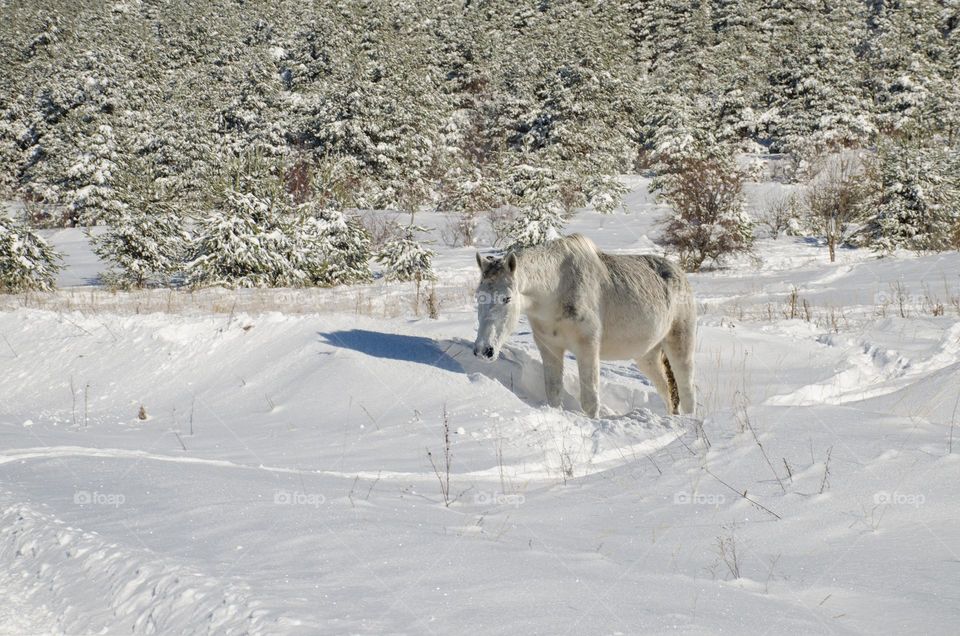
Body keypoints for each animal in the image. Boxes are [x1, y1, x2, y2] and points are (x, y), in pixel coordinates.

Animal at [474, 234, 692, 418]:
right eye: (478, 296)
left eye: (507, 298)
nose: (484, 350)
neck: (556, 290)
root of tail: (680, 274)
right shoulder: (550, 349)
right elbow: (553, 393)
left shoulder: (587, 348)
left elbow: (590, 401)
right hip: (647, 354)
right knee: (666, 390)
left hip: (680, 344)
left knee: (687, 390)